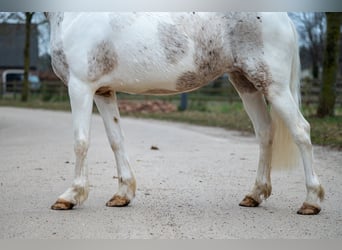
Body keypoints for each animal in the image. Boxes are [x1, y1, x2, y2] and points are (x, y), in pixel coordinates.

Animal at [46, 12, 324, 215]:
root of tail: (283, 16)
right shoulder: (103, 91)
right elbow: (116, 140)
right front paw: (122, 195)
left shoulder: (80, 86)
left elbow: (81, 142)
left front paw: (70, 196)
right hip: (246, 83)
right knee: (265, 132)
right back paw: (254, 195)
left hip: (273, 86)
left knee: (301, 130)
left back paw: (311, 201)